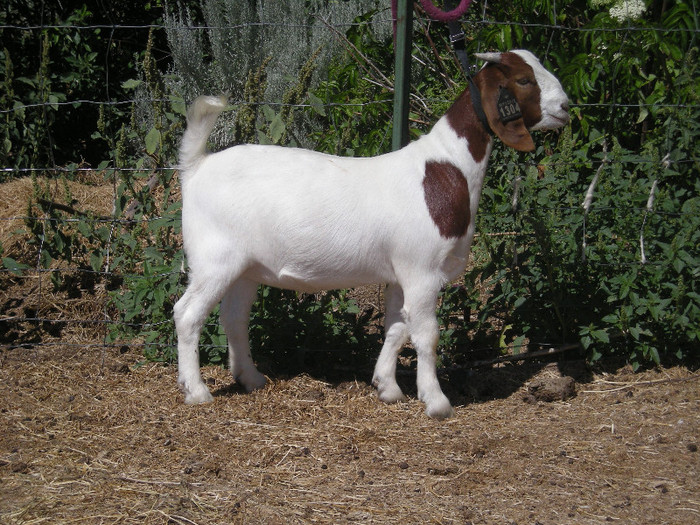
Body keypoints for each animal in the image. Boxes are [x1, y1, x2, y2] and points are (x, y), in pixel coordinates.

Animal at [174, 49, 568, 418]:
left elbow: (396, 327)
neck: (445, 169)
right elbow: (426, 334)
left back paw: (251, 378)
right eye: (523, 80)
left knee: (234, 317)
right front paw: (436, 401)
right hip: (214, 258)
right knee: (187, 314)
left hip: (244, 267)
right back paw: (197, 391)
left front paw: (387, 387)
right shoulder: (422, 270)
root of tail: (197, 165)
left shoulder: (400, 273)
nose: (565, 107)